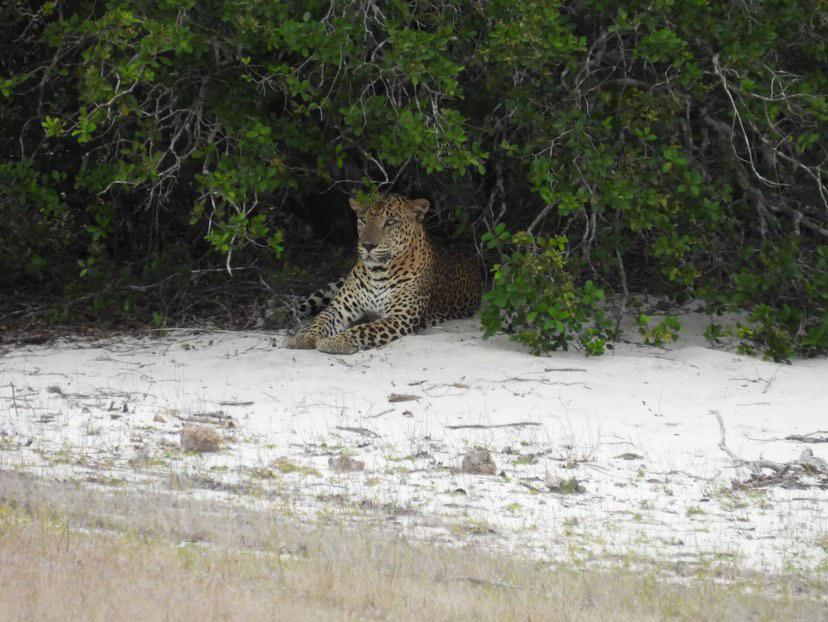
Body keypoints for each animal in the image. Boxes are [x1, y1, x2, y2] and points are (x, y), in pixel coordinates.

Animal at [286, 194, 482, 356]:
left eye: (390, 222)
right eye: (363, 220)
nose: (367, 245)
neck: (378, 274)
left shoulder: (399, 317)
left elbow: (364, 329)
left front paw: (337, 341)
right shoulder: (339, 308)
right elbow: (320, 320)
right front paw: (304, 337)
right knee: (306, 304)